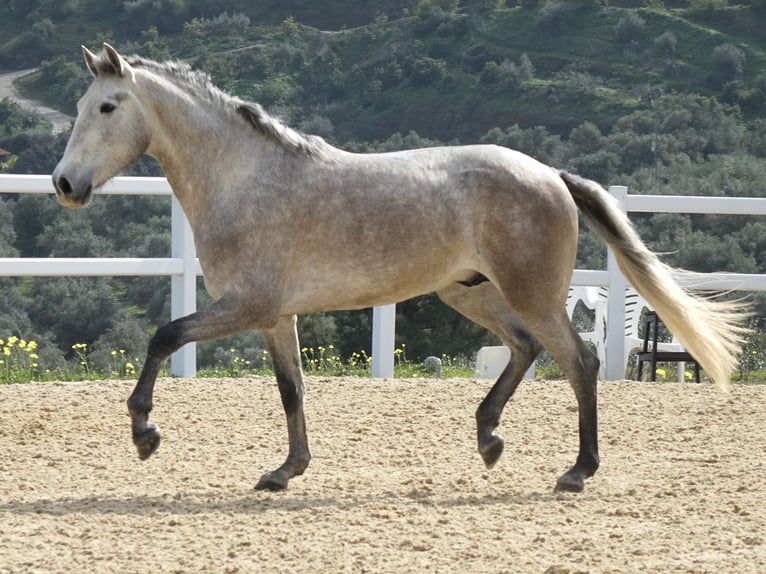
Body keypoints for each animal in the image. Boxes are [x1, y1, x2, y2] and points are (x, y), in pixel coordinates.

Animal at [52, 44, 747, 493]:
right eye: (83, 106)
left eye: (108, 106)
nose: (64, 184)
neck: (245, 181)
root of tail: (551, 174)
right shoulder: (275, 317)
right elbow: (291, 389)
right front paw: (285, 472)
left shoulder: (246, 306)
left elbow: (163, 336)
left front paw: (145, 434)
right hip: (469, 294)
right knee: (526, 348)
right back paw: (489, 440)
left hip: (533, 294)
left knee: (579, 360)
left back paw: (577, 471)